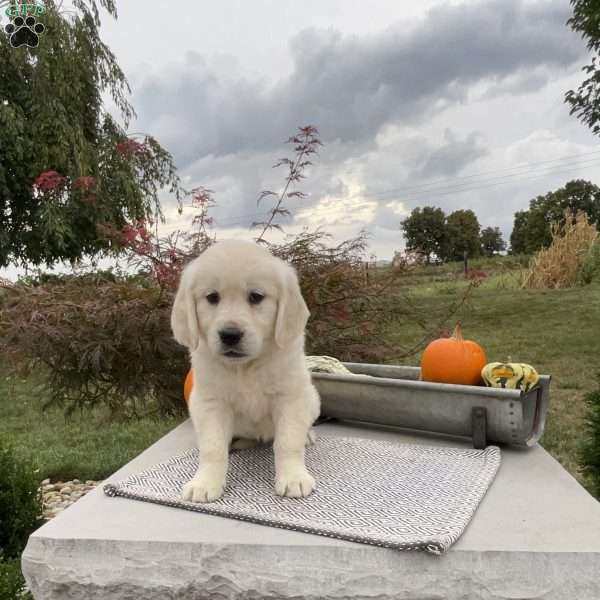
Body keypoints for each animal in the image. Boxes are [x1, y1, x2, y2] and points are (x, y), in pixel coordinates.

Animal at [170, 239, 318, 502]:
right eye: (212, 297)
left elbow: (288, 441)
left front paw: (293, 478)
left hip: (312, 398)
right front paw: (205, 482)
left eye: (256, 297)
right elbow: (213, 446)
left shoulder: (290, 397)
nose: (230, 335)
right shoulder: (210, 402)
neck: (245, 367)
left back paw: (308, 435)